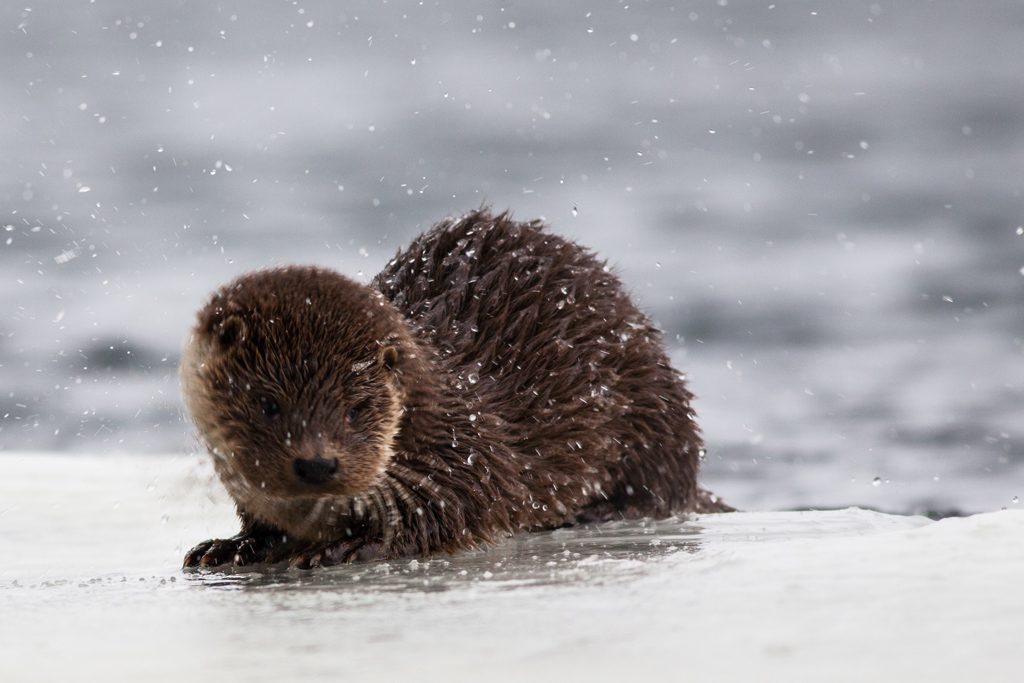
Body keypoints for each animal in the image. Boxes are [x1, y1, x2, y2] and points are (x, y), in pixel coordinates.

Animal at [181, 209, 729, 569]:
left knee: (664, 484)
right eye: (267, 404)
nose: (317, 464)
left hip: (650, 399)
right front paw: (232, 546)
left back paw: (603, 510)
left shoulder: (466, 450)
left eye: (356, 410)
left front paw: (347, 547)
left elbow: (460, 509)